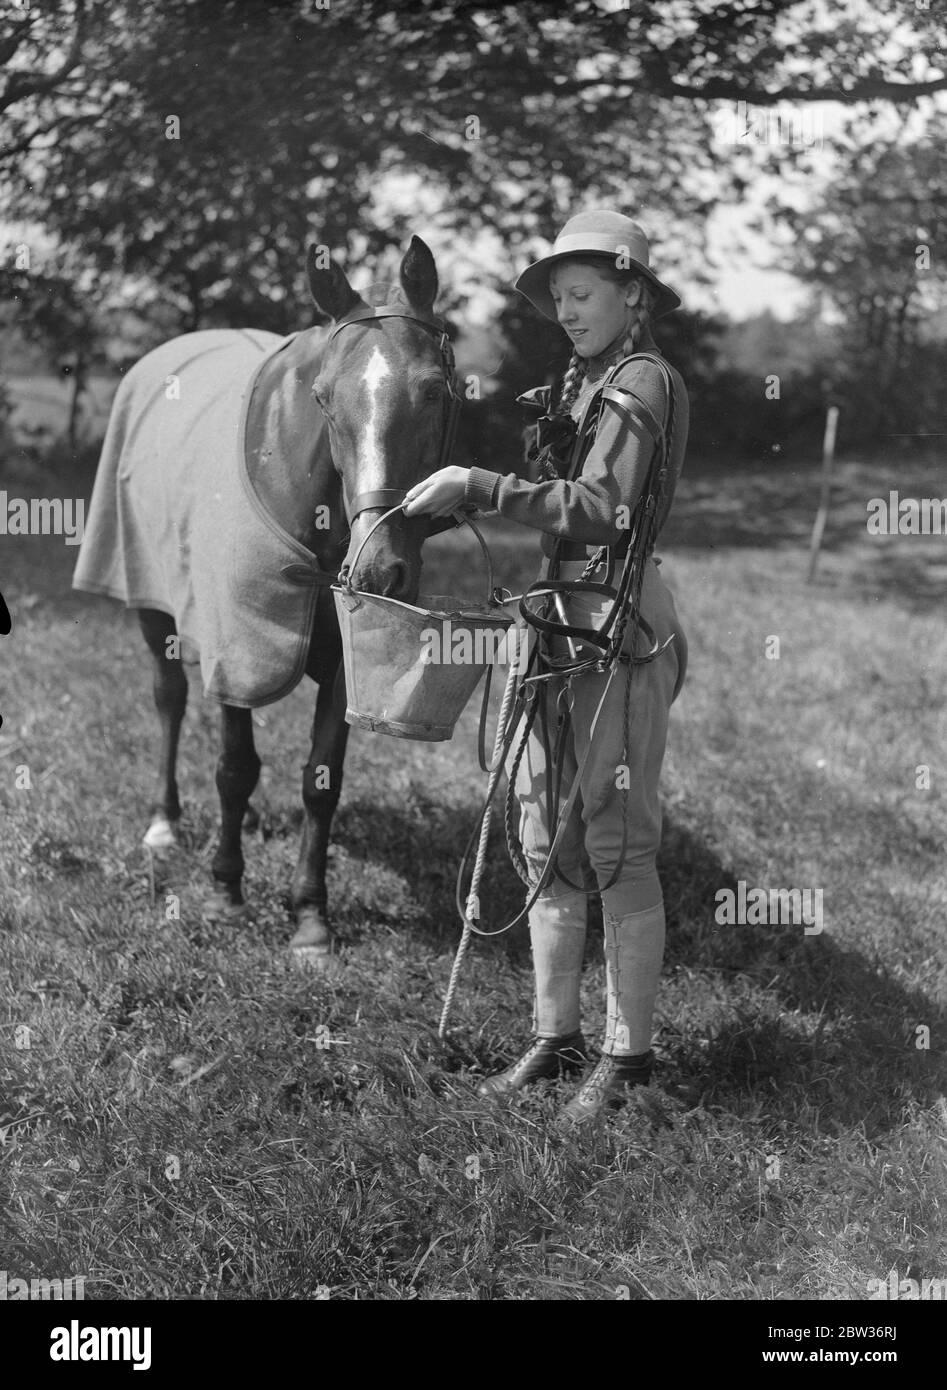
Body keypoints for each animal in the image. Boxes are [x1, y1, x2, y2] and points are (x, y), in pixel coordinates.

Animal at [73, 233, 458, 961]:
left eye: (434, 391)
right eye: (323, 398)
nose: (379, 569)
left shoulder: (341, 670)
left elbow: (320, 780)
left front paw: (309, 914)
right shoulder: (239, 644)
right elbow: (234, 766)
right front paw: (225, 890)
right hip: (153, 612)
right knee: (170, 701)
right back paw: (164, 823)